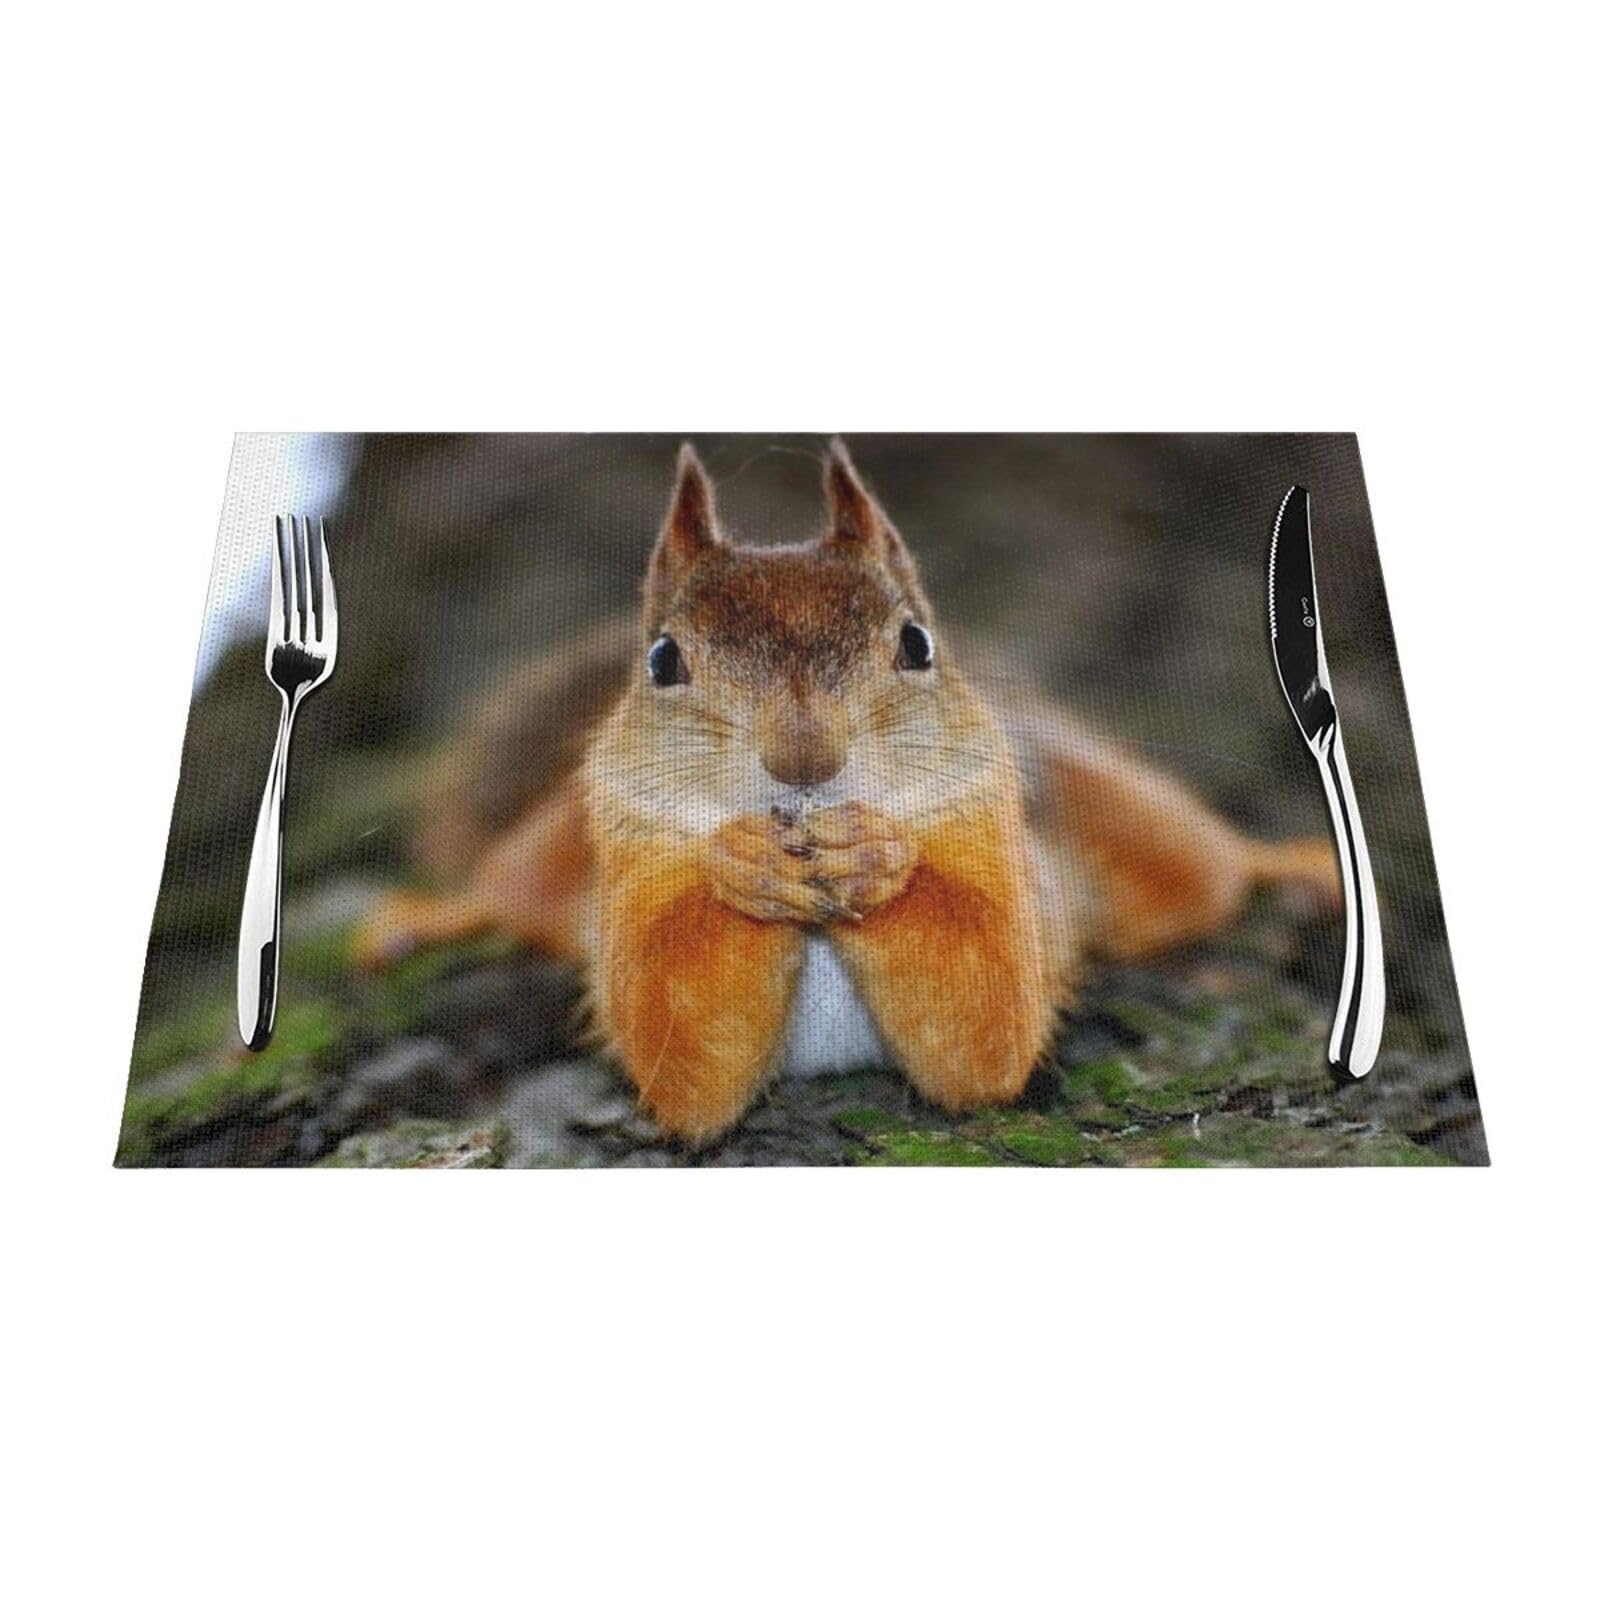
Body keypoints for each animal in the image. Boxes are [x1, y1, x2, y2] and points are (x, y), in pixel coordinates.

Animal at [356, 440, 1338, 1142]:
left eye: (917, 644)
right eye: (663, 660)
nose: (805, 760)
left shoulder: (1001, 847)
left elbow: (989, 1022)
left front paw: (876, 856)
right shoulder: (628, 858)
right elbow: (682, 1057)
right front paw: (741, 864)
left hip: (1119, 817)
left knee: (1200, 871)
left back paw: (1286, 861)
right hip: (553, 847)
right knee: (508, 894)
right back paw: (427, 919)